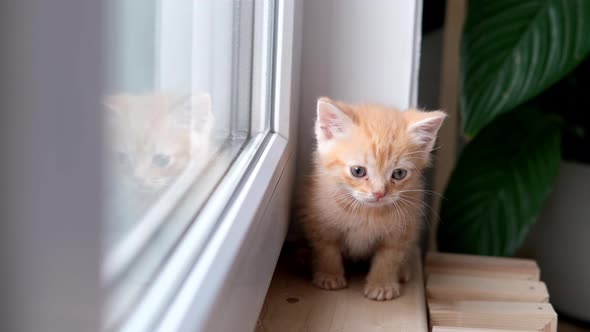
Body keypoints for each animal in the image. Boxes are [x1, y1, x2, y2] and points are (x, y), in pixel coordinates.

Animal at [302, 96, 446, 300]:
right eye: (358, 171)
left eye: (399, 174)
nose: (379, 193)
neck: (367, 212)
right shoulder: (320, 220)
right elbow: (327, 248)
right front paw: (329, 275)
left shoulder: (402, 230)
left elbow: (389, 257)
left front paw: (382, 284)